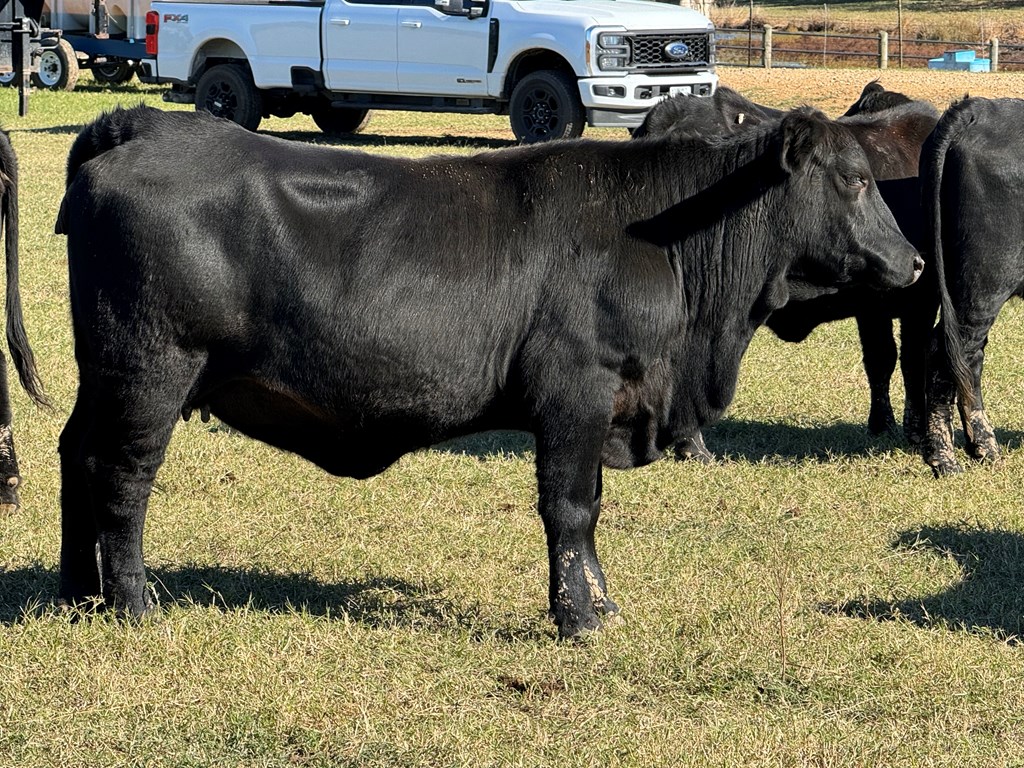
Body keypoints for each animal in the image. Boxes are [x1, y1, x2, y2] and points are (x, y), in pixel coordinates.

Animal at [54, 105, 921, 638]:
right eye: (855, 179)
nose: (913, 262)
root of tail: (142, 125)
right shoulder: (576, 390)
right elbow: (569, 508)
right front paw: (577, 620)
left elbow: (590, 511)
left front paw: (601, 605)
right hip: (151, 370)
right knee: (121, 476)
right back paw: (131, 605)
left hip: (105, 375)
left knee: (73, 456)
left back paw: (75, 593)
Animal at [634, 83, 937, 460]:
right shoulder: (910, 303)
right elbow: (902, 360)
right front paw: (910, 430)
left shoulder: (879, 306)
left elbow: (885, 361)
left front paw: (884, 425)